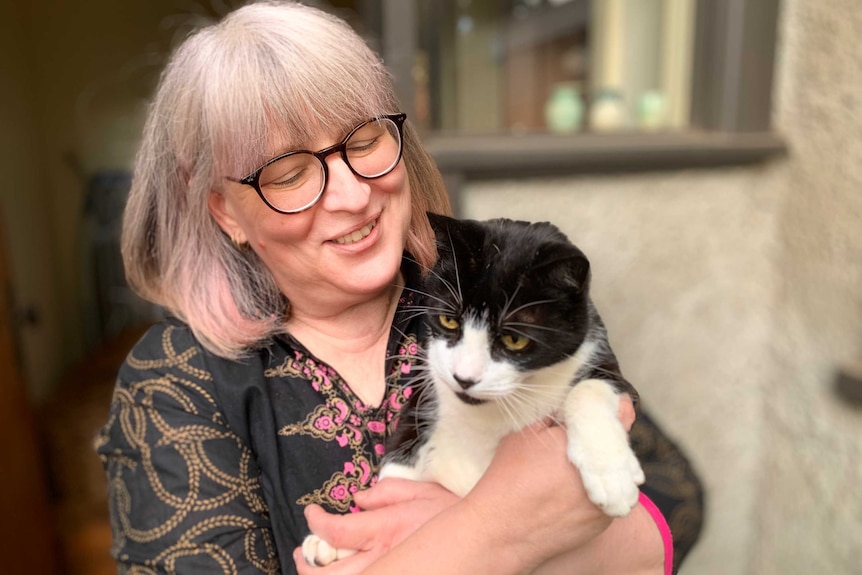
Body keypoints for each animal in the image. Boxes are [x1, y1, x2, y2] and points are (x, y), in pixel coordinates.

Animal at [304, 213, 648, 568]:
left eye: (514, 339)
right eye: (449, 321)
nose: (464, 377)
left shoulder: (604, 364)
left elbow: (592, 386)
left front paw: (611, 476)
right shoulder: (425, 398)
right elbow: (399, 464)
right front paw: (335, 543)